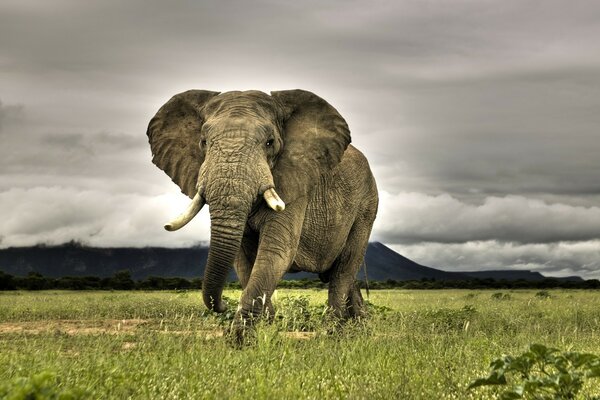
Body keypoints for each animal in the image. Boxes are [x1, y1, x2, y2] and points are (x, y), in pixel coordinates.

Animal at [146, 89, 378, 340]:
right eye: (203, 142)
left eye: (270, 142)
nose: (222, 305)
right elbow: (243, 259)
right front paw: (266, 328)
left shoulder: (295, 183)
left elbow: (276, 250)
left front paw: (240, 339)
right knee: (341, 273)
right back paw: (359, 327)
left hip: (367, 206)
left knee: (344, 268)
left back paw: (334, 332)